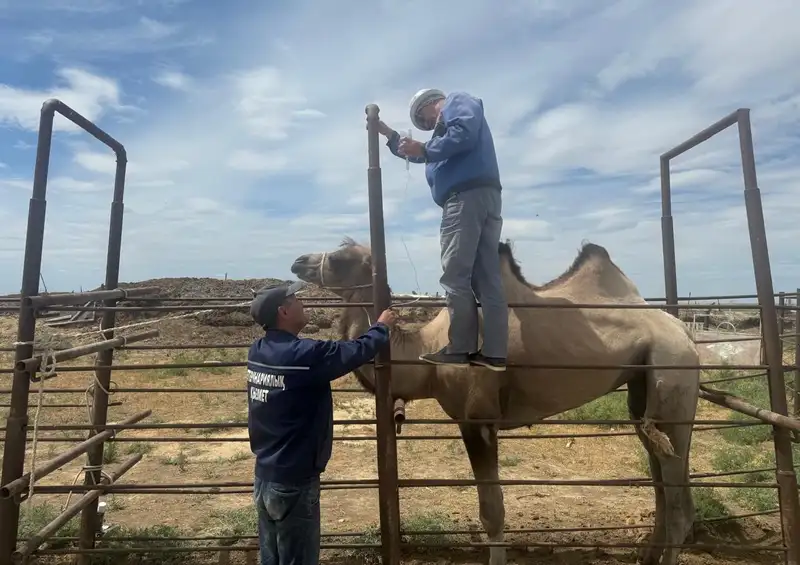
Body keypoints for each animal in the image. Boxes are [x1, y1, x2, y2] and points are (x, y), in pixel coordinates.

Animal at [290, 237, 700, 564]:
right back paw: (647, 555)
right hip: (643, 387)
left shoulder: (478, 420)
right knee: (661, 478)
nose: (298, 261)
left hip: (671, 371)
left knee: (677, 498)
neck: (426, 355)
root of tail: (685, 332)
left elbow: (492, 510)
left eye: (341, 258)